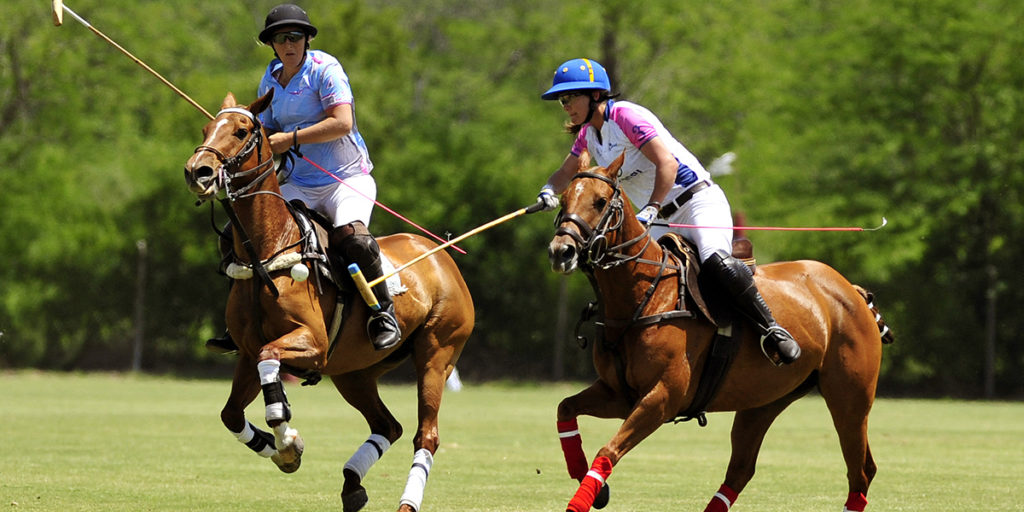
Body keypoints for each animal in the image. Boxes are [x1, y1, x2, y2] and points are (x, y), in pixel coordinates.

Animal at [182, 92, 473, 512]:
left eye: (241, 131)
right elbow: (231, 414)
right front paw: (286, 450)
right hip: (355, 372)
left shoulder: (313, 344)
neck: (267, 251)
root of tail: (442, 255)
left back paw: (406, 502)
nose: (197, 172)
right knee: (388, 425)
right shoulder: (247, 353)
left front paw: (286, 436)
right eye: (207, 128)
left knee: (426, 434)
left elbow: (272, 366)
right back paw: (352, 483)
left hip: (438, 353)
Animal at [548, 154, 892, 512]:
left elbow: (608, 449)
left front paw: (584, 499)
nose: (561, 251)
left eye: (601, 201)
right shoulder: (619, 393)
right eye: (564, 199)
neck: (645, 294)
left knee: (861, 470)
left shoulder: (662, 398)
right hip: (764, 400)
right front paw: (597, 489)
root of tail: (851, 290)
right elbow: (565, 408)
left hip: (850, 398)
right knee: (741, 469)